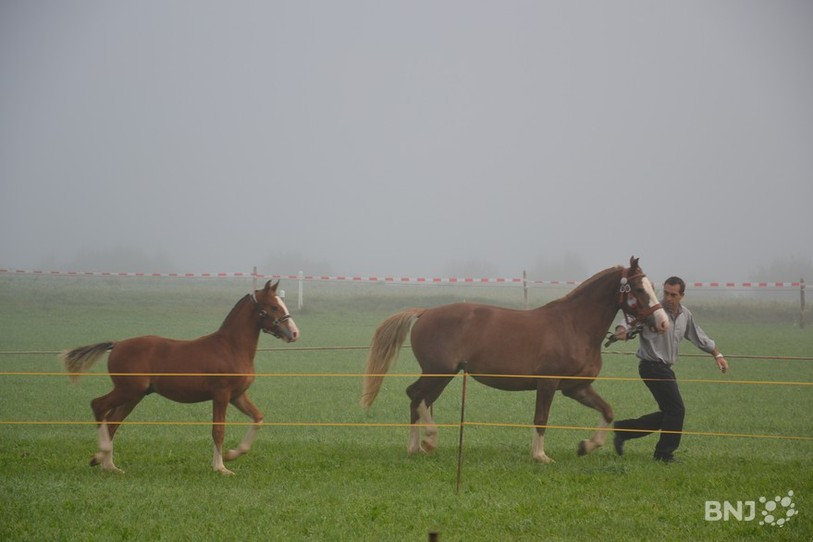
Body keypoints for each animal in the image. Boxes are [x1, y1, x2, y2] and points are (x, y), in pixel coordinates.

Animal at [59, 280, 300, 475]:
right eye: (273, 306)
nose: (294, 333)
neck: (231, 348)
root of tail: (116, 344)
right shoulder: (221, 394)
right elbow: (218, 430)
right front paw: (221, 467)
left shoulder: (237, 395)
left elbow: (258, 418)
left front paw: (233, 454)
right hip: (128, 390)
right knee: (99, 406)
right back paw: (99, 456)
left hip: (135, 395)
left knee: (112, 422)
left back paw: (109, 465)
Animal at [361, 257, 668, 463]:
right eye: (639, 289)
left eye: (651, 286)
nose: (663, 322)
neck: (573, 326)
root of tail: (425, 312)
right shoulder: (548, 383)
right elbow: (541, 418)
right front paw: (540, 455)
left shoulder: (575, 388)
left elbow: (607, 411)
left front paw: (586, 446)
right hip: (439, 371)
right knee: (415, 395)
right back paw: (429, 439)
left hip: (442, 375)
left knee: (419, 399)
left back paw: (417, 447)